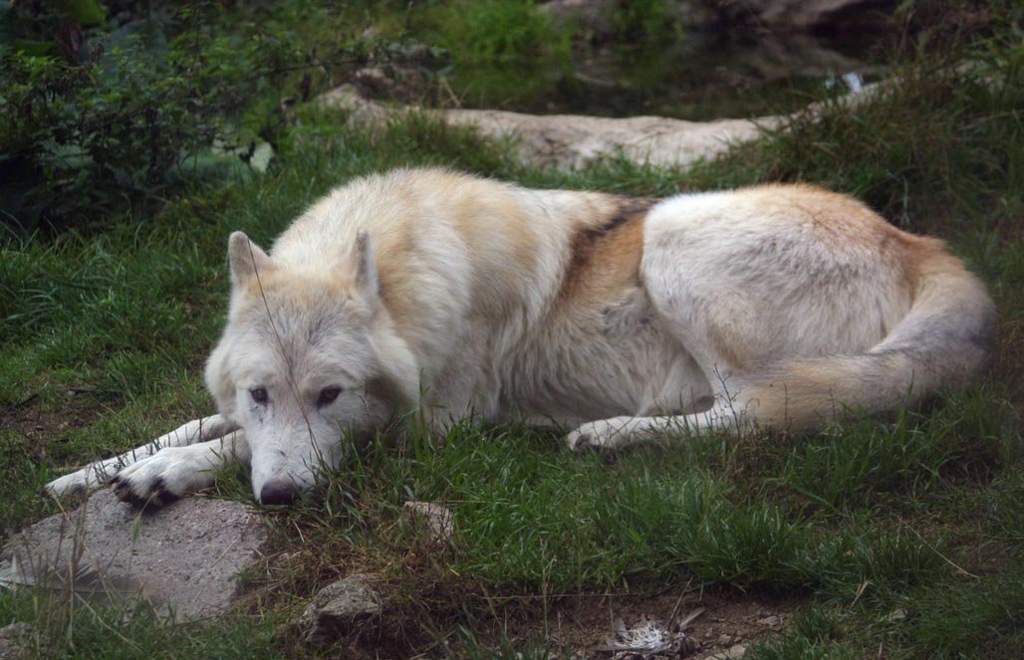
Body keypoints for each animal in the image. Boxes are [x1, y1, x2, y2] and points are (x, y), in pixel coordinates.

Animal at [44, 168, 995, 505]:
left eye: (330, 395)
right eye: (261, 389)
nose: (279, 503)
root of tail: (921, 243)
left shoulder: (434, 427)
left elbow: (228, 446)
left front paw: (163, 476)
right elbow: (197, 424)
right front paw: (93, 471)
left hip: (678, 234)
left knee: (755, 415)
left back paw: (608, 438)